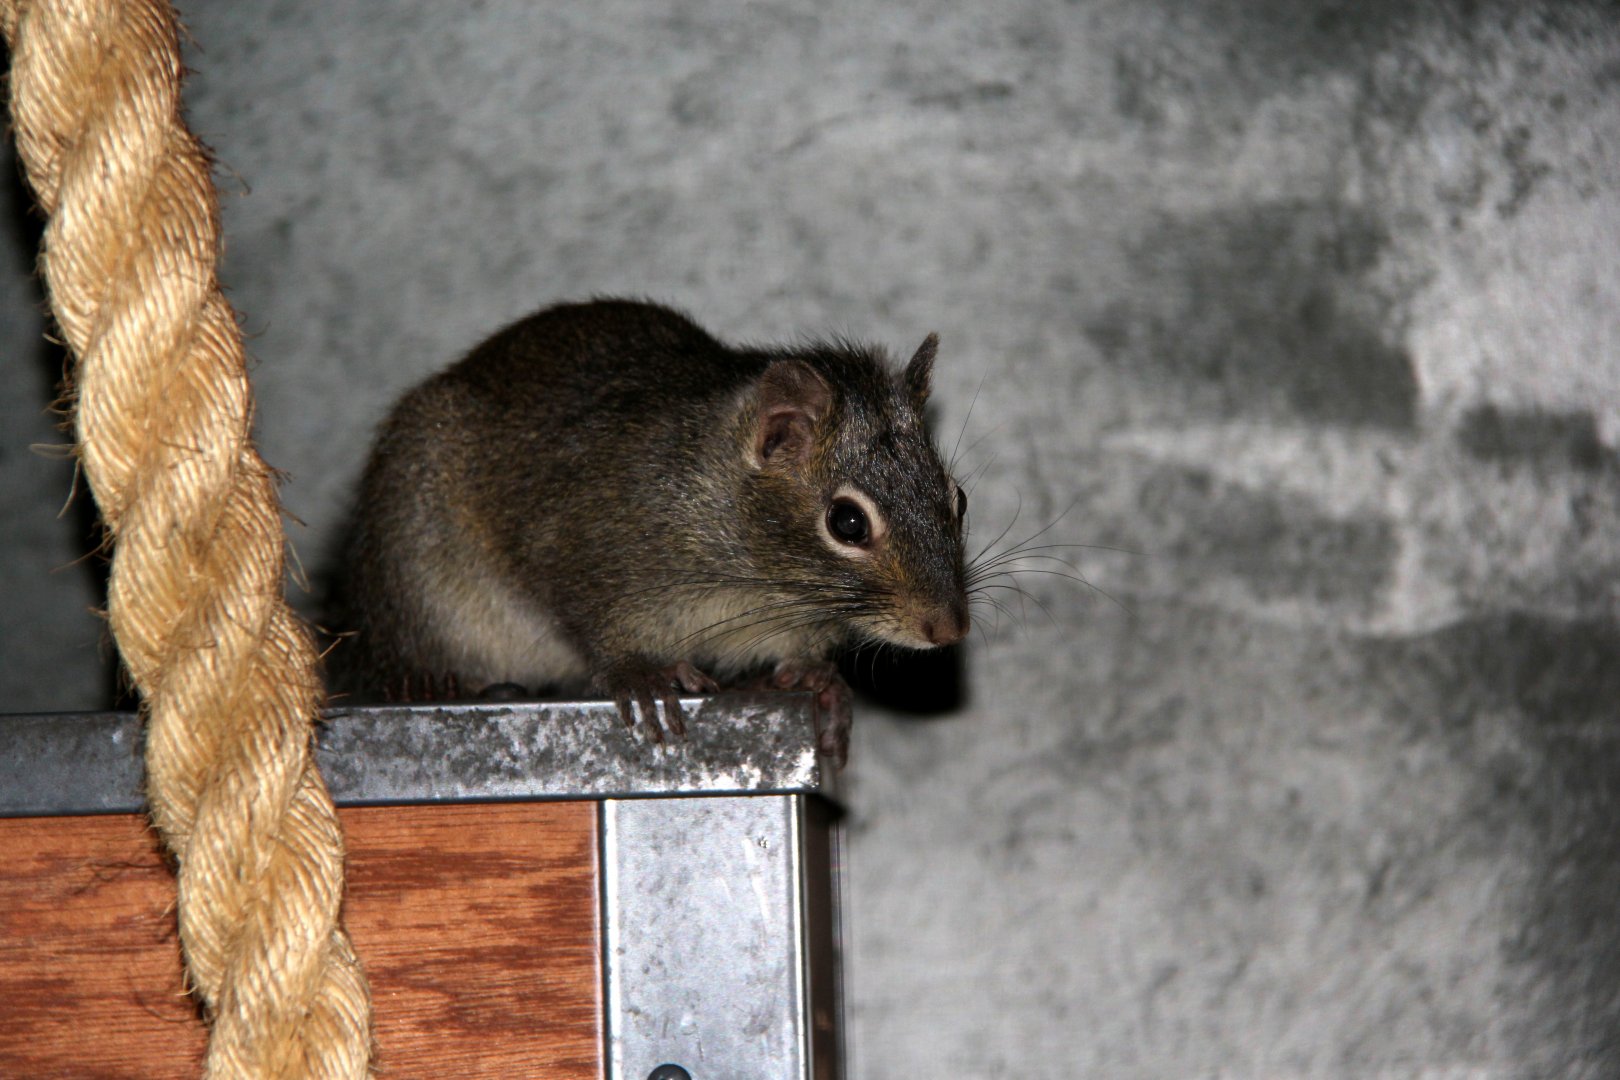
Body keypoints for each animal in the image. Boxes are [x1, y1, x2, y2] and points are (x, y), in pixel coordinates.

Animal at [336, 298, 969, 764]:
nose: (949, 628)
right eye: (847, 522)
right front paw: (640, 671)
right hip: (416, 569)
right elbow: (593, 619)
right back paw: (424, 682)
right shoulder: (580, 544)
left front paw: (820, 681)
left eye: (958, 499)